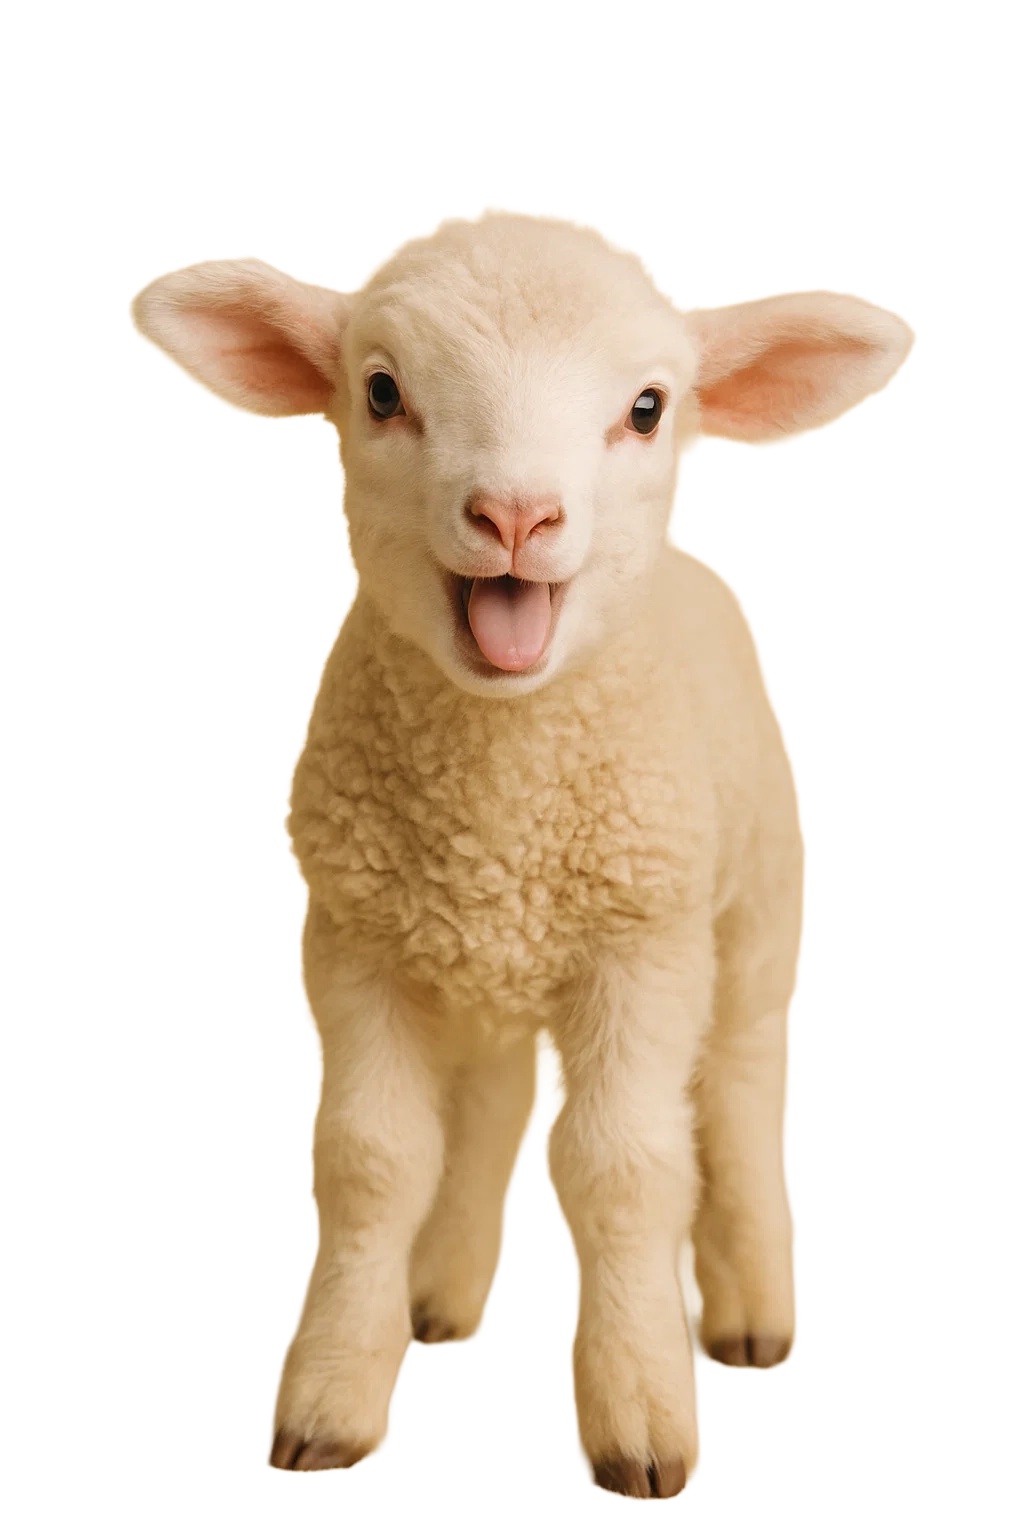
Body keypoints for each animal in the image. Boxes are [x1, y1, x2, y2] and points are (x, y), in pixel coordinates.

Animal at [131, 214, 910, 1500]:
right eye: (382, 391)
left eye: (646, 409)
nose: (514, 518)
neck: (501, 805)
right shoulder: (352, 939)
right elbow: (371, 1160)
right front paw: (330, 1398)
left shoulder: (644, 942)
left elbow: (623, 1170)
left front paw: (638, 1415)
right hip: (469, 958)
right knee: (492, 1095)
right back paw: (439, 1290)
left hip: (752, 906)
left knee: (739, 1086)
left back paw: (750, 1306)